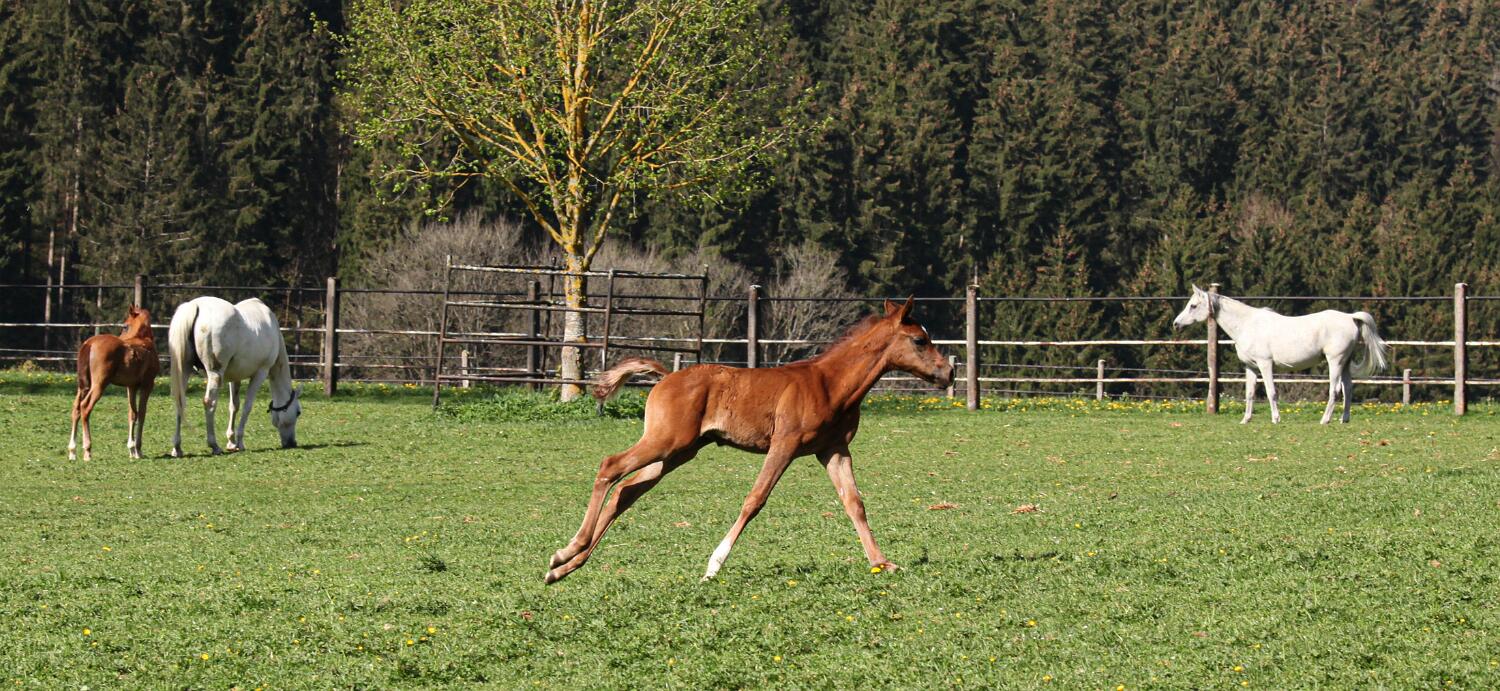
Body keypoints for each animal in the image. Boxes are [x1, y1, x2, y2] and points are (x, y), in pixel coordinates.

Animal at [68, 305, 161, 461]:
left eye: (125, 326)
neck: (144, 341)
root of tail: (89, 343)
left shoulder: (131, 386)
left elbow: (132, 414)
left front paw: (131, 449)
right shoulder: (147, 385)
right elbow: (142, 413)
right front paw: (138, 450)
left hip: (83, 386)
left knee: (76, 408)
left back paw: (72, 451)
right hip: (99, 384)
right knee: (85, 407)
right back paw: (87, 450)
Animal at [167, 296, 302, 456]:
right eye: (298, 412)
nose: (292, 443)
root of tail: (196, 305)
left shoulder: (234, 377)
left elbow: (234, 406)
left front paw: (231, 442)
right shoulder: (260, 373)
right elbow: (247, 406)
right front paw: (240, 442)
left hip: (184, 371)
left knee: (180, 402)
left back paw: (177, 448)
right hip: (215, 374)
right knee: (209, 403)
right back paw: (214, 445)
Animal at [544, 297, 954, 584]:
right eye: (920, 340)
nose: (949, 373)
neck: (830, 383)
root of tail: (665, 377)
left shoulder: (833, 450)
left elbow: (854, 503)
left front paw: (882, 563)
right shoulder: (784, 445)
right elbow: (755, 499)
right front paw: (713, 565)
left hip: (678, 452)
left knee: (625, 492)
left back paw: (563, 568)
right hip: (665, 442)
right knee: (610, 467)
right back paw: (567, 552)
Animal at [1172, 285, 1389, 424]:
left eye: (1193, 306)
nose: (1176, 324)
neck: (1247, 324)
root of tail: (1350, 317)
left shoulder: (1265, 364)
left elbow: (1271, 392)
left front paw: (1276, 419)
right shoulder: (1250, 367)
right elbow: (1250, 393)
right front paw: (1245, 419)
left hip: (1334, 362)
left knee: (1334, 390)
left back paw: (1325, 420)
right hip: (1345, 363)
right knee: (1348, 389)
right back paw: (1344, 419)